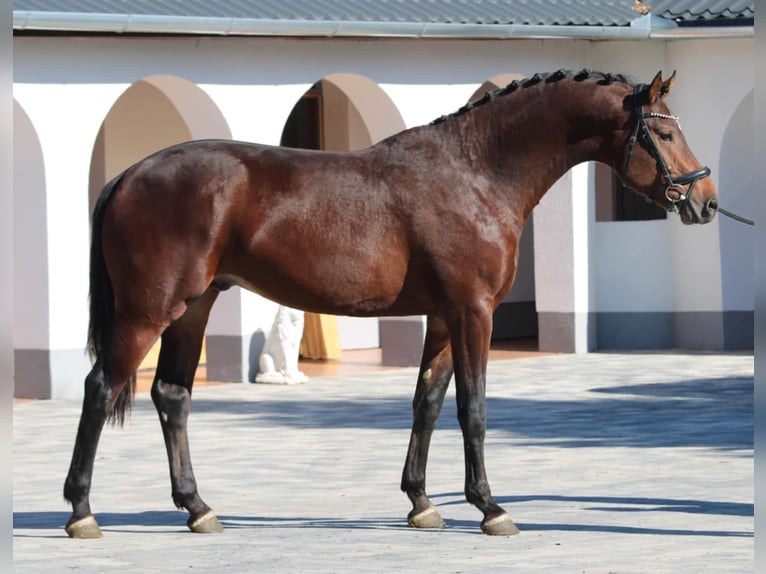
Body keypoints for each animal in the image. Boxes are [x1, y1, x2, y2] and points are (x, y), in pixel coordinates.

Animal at [64, 71, 720, 540]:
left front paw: (423, 503)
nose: (707, 201)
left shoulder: (443, 316)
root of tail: (128, 174)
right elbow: (473, 410)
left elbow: (426, 403)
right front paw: (490, 508)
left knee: (172, 396)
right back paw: (81, 511)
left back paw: (198, 508)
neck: (475, 173)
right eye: (664, 134)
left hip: (193, 307)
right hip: (149, 311)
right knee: (101, 388)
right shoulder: (472, 311)